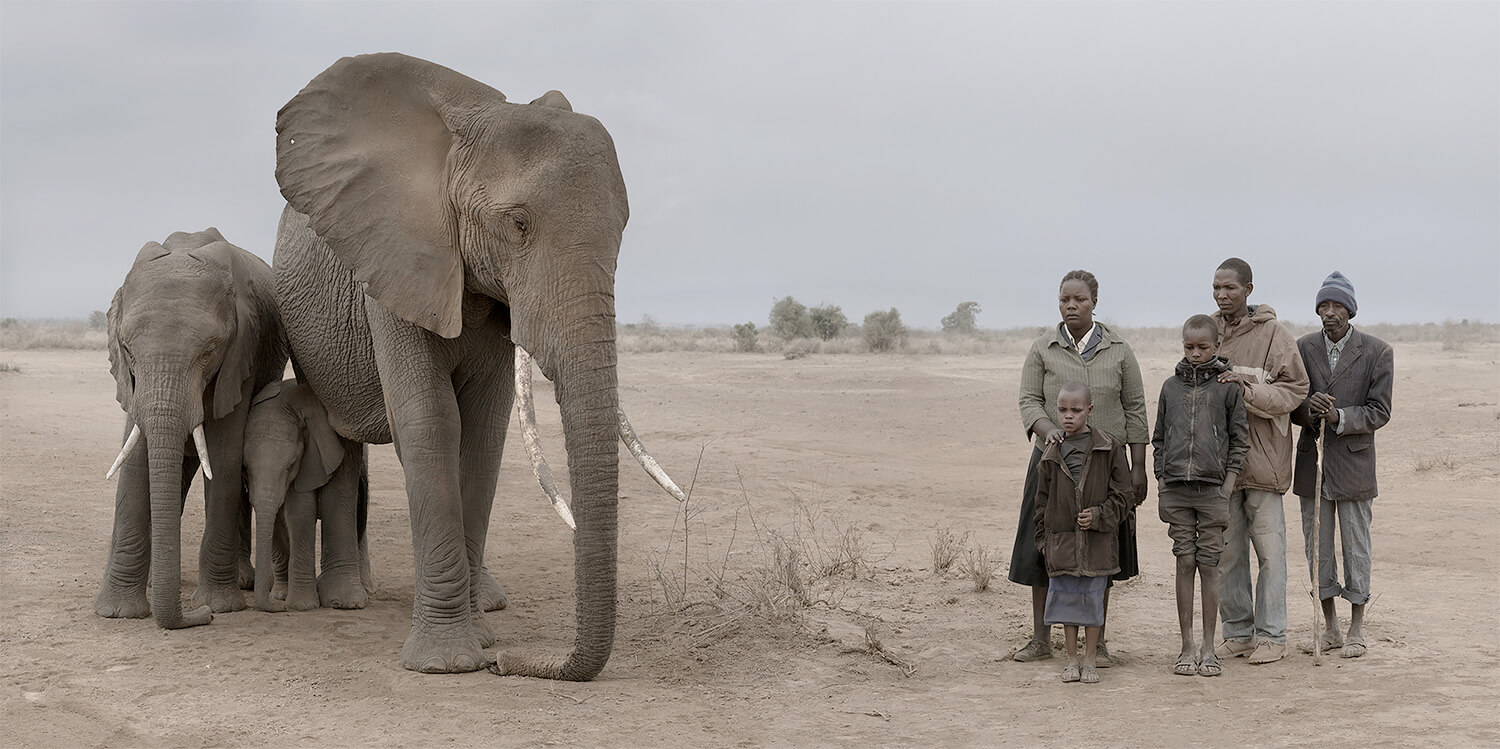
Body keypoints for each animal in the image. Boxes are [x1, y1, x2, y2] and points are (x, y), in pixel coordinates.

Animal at [97, 231, 292, 630]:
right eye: (127, 350)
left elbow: (223, 458)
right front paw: (119, 613)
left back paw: (241, 581)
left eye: (209, 351)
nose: (200, 617)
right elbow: (135, 463)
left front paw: (219, 606)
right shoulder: (134, 384)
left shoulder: (240, 360)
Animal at [276, 52, 681, 681]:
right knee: (343, 443)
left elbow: (484, 432)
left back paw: (483, 599)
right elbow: (432, 422)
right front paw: (447, 663)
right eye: (518, 224)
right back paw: (353, 597)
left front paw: (483, 640)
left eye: (622, 230)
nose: (512, 664)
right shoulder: (395, 259)